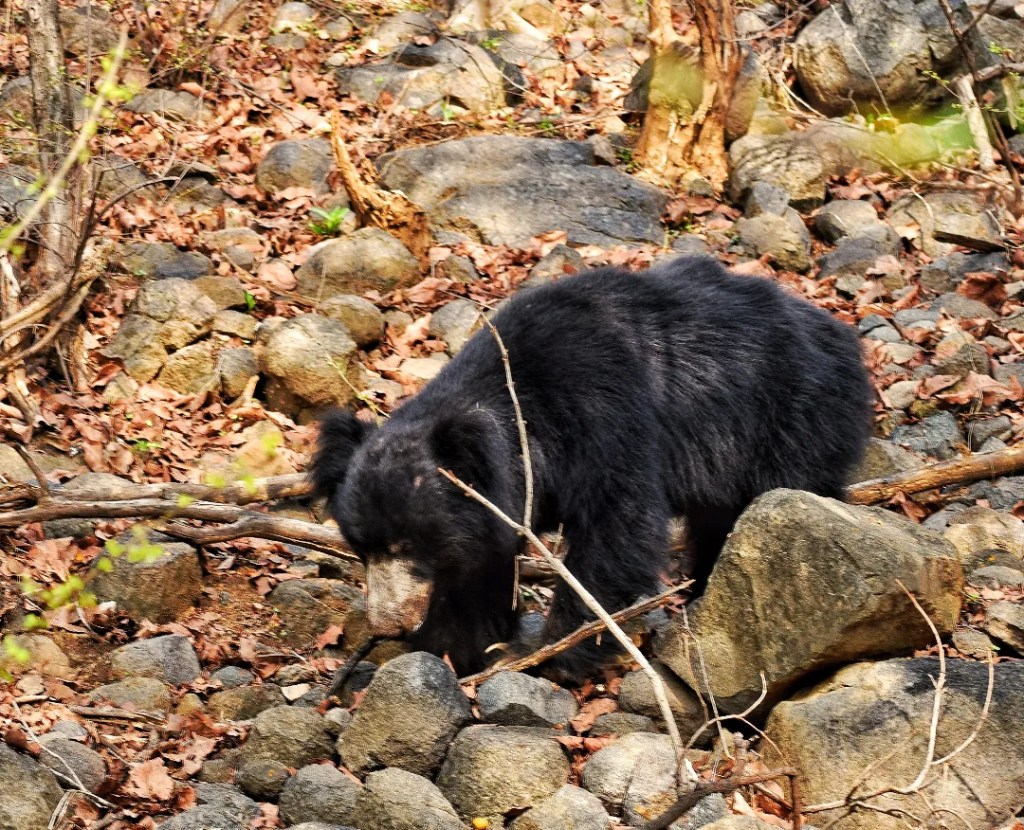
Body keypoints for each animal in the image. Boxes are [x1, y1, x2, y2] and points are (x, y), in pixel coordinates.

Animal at [310, 255, 873, 680]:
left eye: (406, 545)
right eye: (361, 548)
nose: (385, 626)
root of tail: (842, 336)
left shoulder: (606, 416)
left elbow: (616, 531)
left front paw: (546, 653)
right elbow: (481, 563)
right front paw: (452, 647)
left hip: (789, 421)